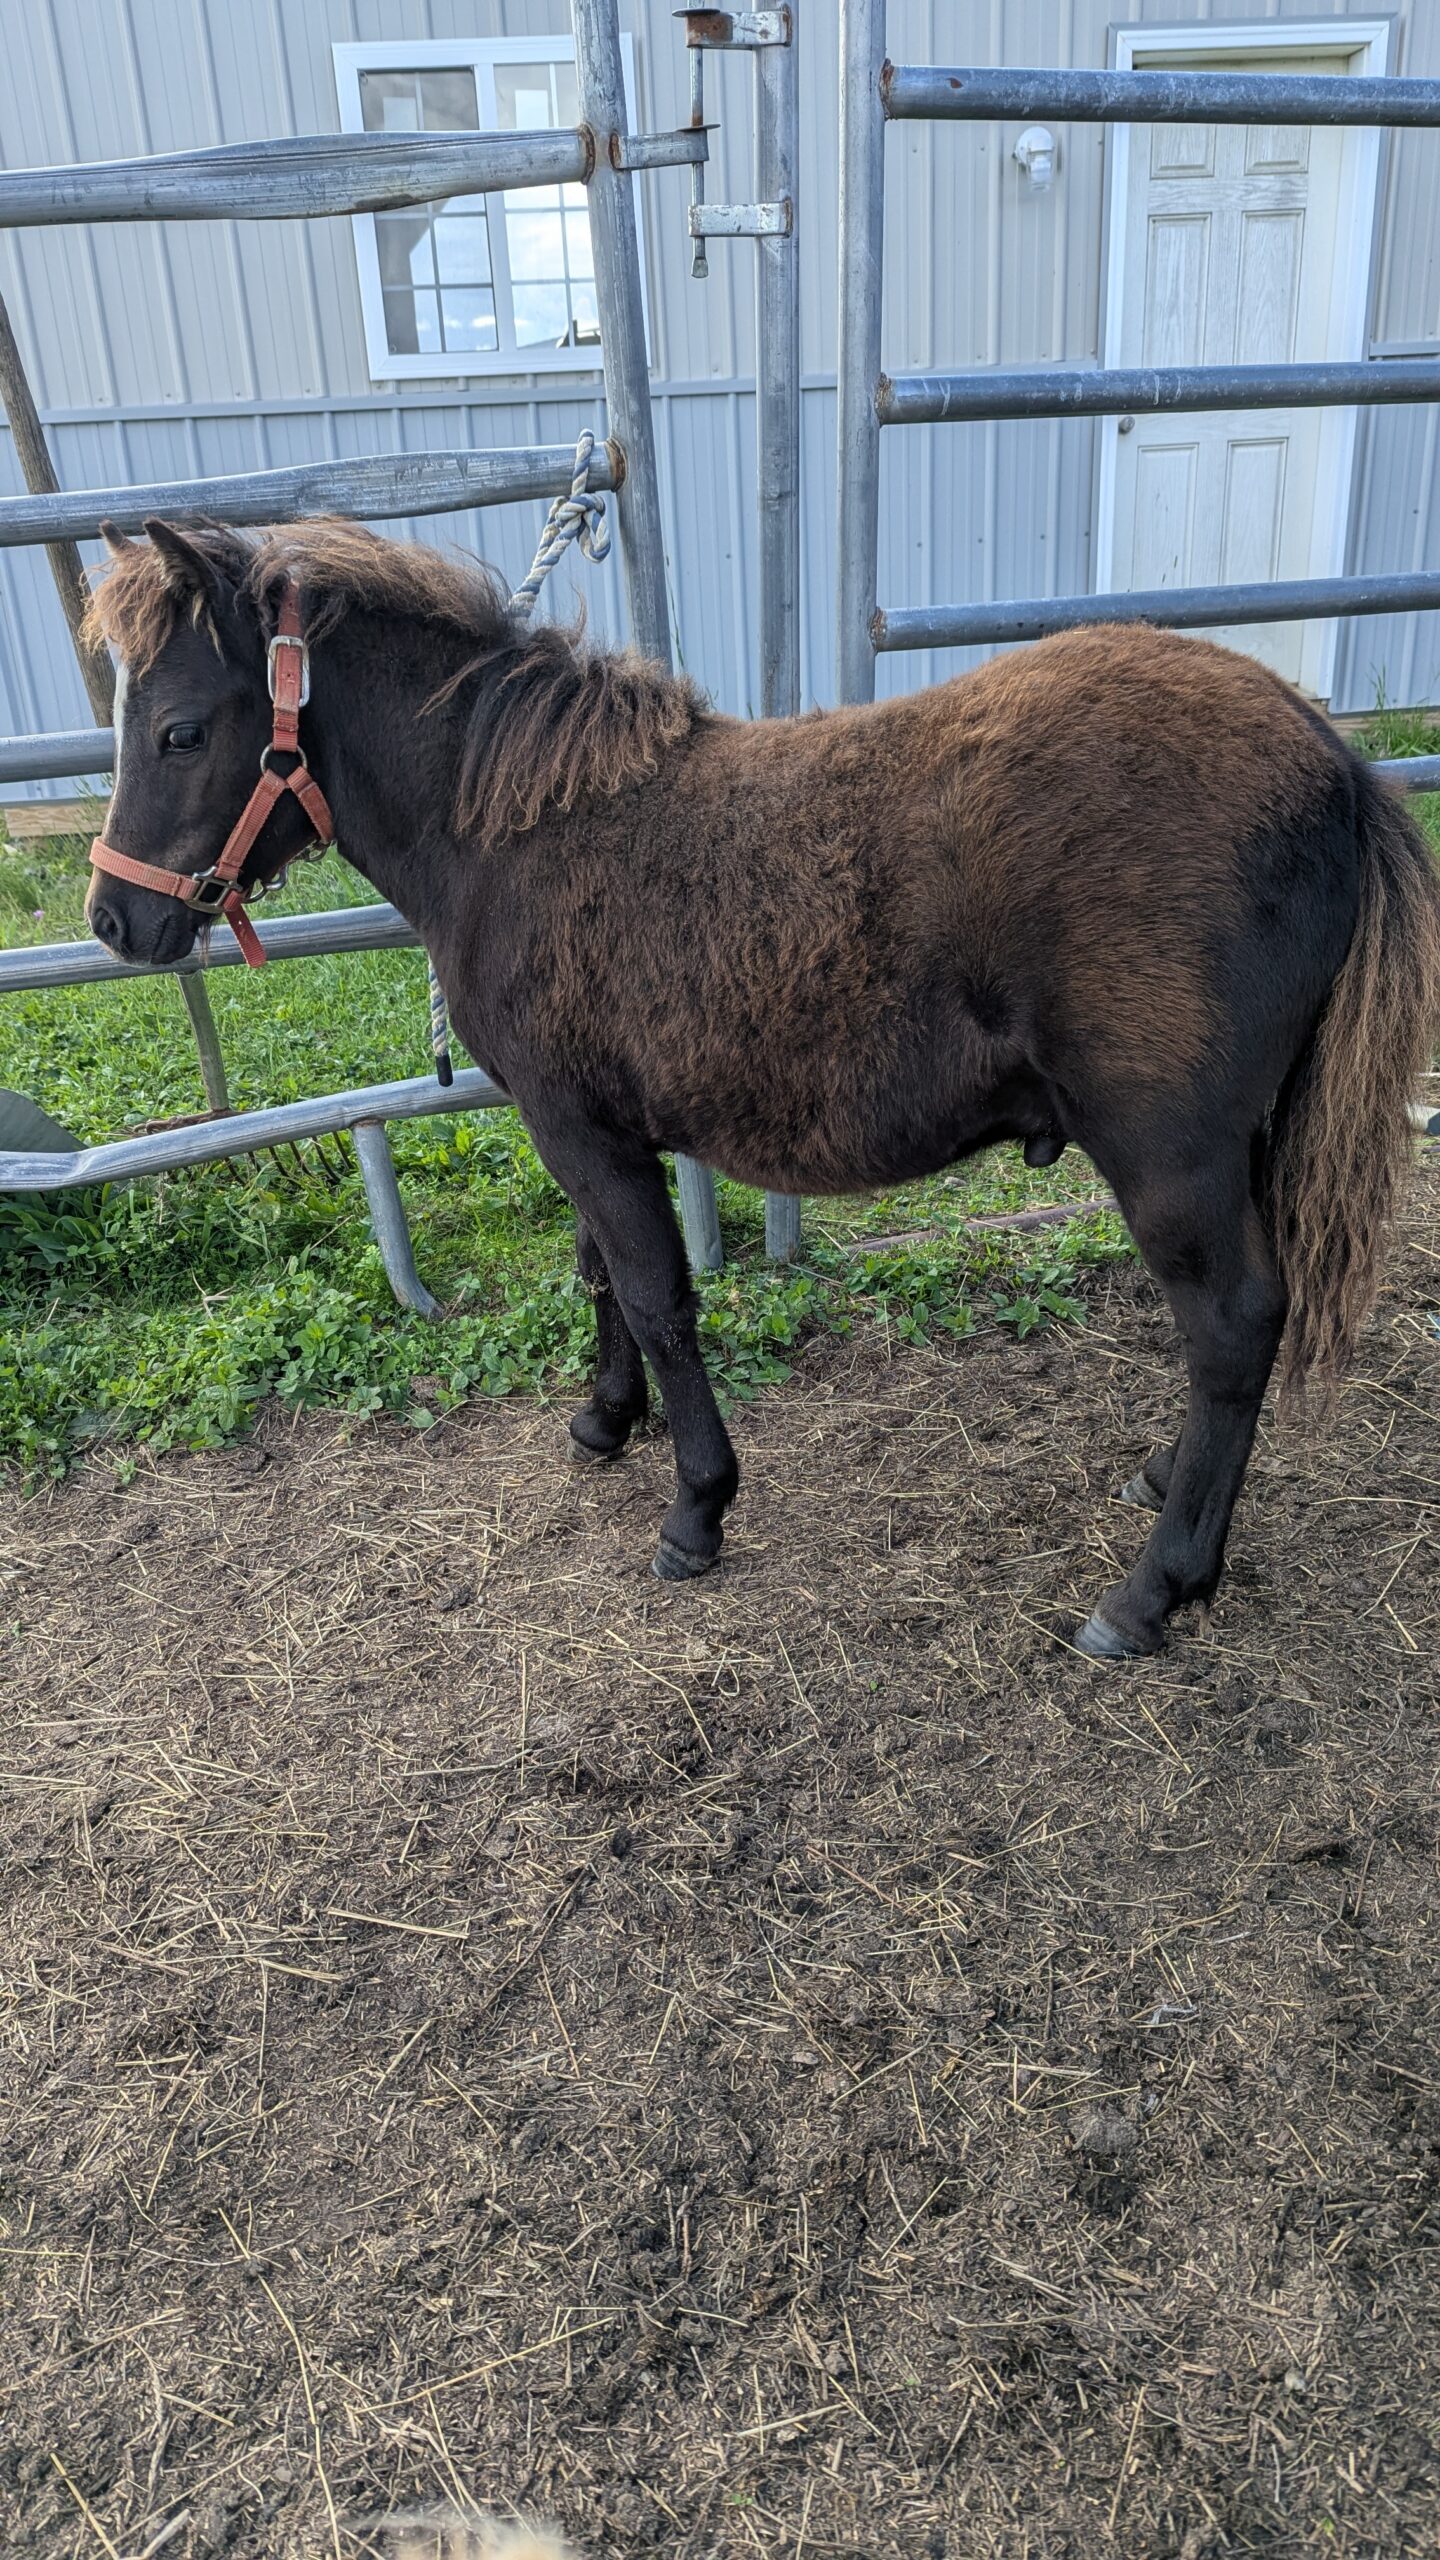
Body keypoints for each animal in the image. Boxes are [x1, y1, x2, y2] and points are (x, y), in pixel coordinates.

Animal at [83, 517, 1440, 1660]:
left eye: (180, 730)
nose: (113, 918)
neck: (511, 834)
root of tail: (1335, 763)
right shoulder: (579, 1123)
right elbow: (601, 1277)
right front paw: (604, 1422)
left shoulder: (581, 1128)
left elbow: (655, 1295)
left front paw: (697, 1507)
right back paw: (1167, 1489)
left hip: (1171, 1155)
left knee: (1234, 1325)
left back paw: (1154, 1587)